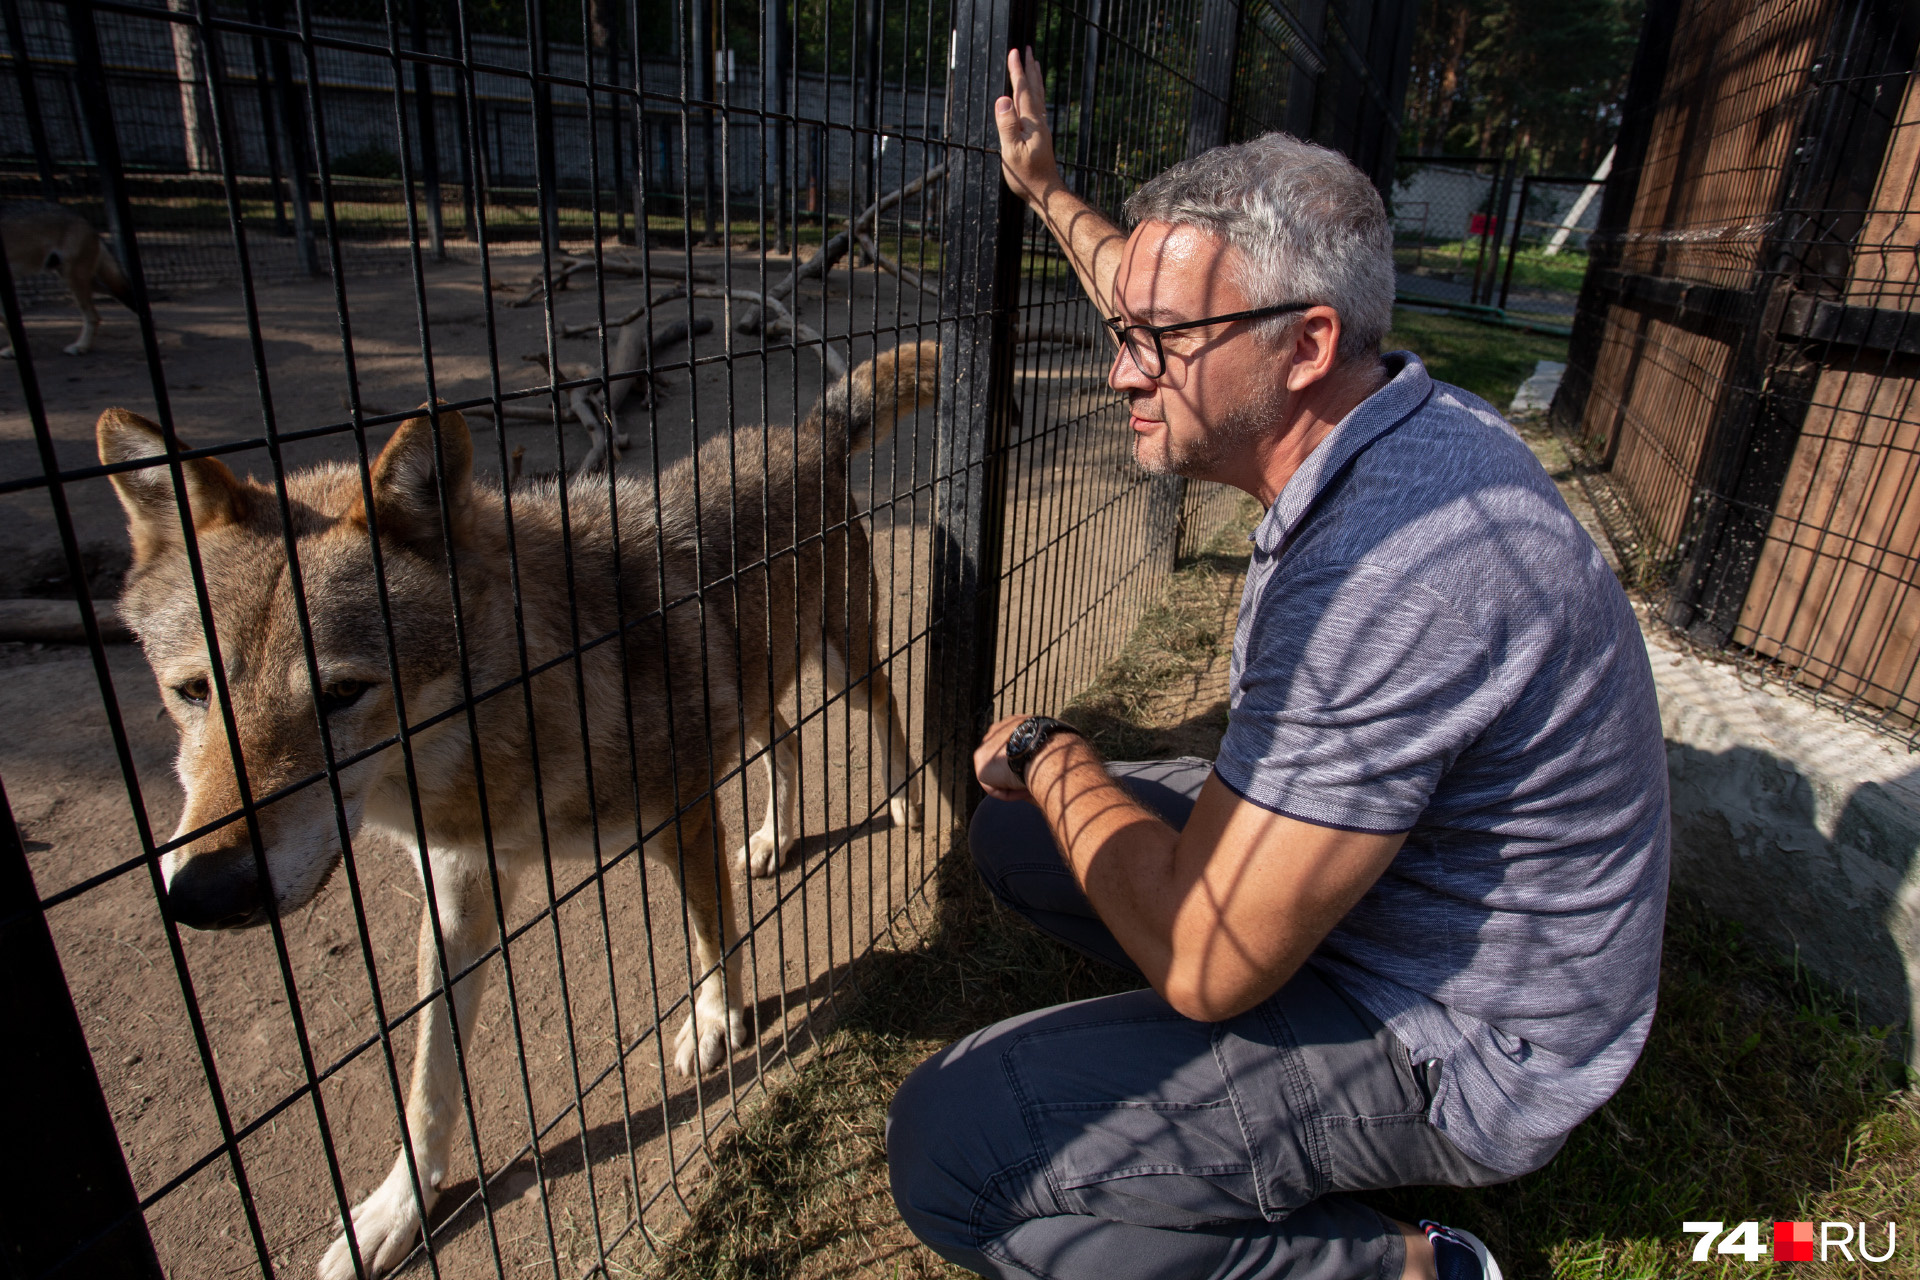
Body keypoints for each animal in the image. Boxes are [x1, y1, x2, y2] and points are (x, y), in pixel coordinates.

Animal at [2, 201, 132, 358]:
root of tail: (84, 220)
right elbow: (7, 321)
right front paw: (14, 350)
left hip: (74, 280)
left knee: (94, 315)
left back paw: (81, 346)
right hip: (84, 282)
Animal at [97, 339, 936, 1280]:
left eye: (343, 693)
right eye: (192, 692)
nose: (203, 894)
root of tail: (801, 430)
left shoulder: (681, 817)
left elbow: (713, 938)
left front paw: (717, 1023)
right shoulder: (458, 892)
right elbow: (428, 1084)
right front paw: (397, 1209)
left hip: (841, 663)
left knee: (887, 709)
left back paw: (905, 800)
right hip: (755, 684)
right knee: (785, 740)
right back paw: (775, 837)